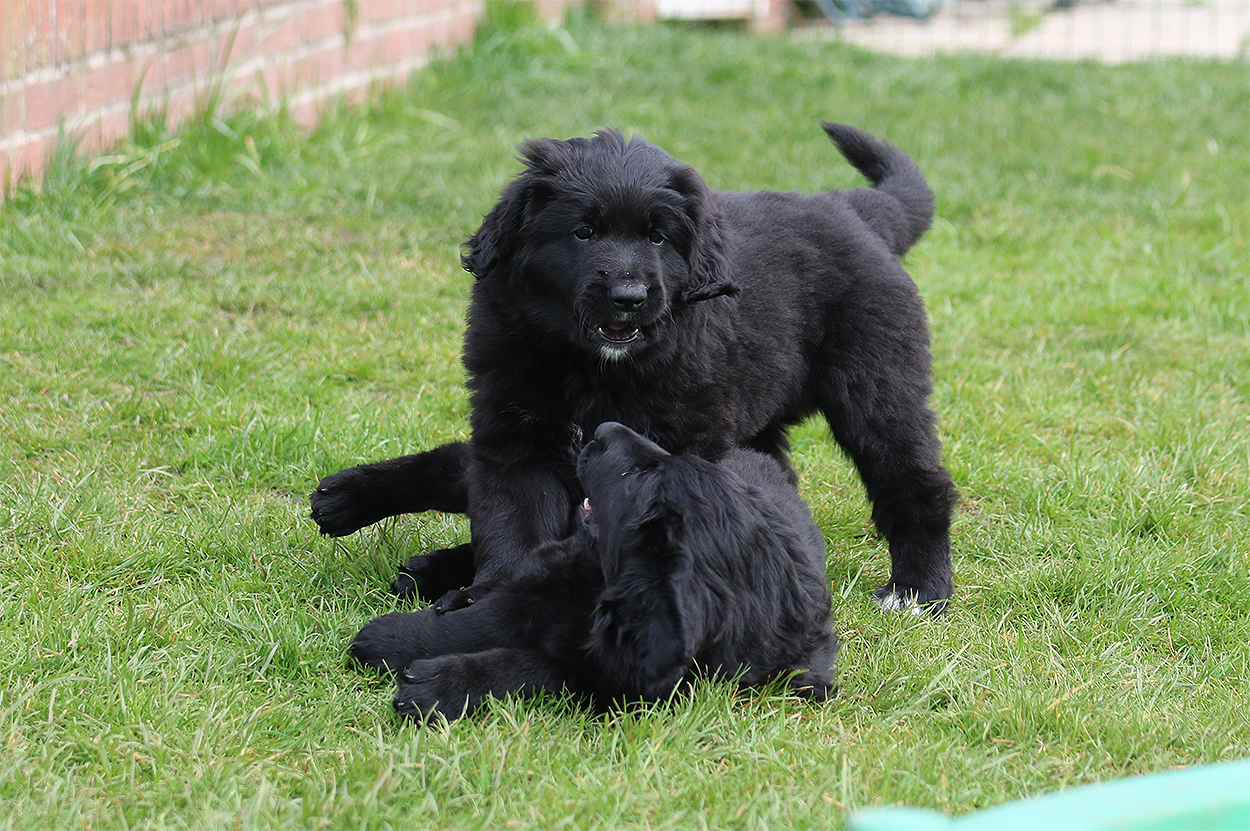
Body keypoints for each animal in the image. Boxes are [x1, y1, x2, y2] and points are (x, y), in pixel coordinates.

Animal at [311, 122, 957, 614]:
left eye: (657, 237)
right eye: (584, 231)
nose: (628, 295)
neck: (591, 367)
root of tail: (850, 208)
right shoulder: (515, 436)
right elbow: (510, 524)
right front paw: (489, 593)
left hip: (877, 385)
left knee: (915, 483)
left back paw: (917, 591)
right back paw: (352, 504)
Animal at [350, 422, 838, 721]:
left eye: (639, 473)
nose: (602, 429)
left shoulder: (613, 678)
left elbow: (524, 668)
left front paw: (437, 685)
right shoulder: (535, 590)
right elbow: (471, 623)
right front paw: (387, 638)